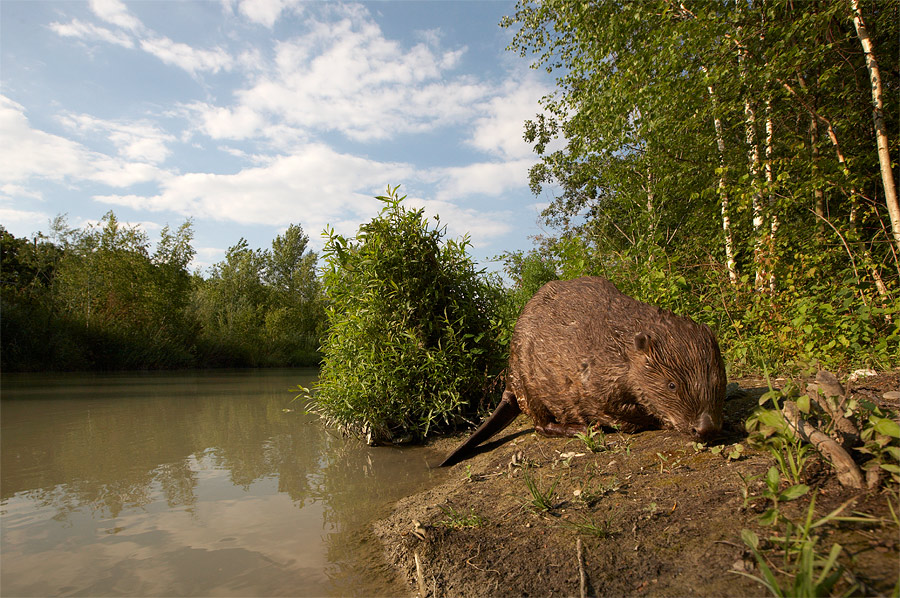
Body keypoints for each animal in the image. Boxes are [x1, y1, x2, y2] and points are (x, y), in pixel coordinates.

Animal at [440, 276, 728, 468]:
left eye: (719, 380)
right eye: (672, 385)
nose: (706, 429)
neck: (619, 346)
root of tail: (509, 387)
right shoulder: (592, 383)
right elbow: (616, 413)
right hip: (528, 382)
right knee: (541, 426)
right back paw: (579, 429)